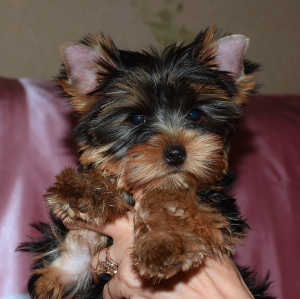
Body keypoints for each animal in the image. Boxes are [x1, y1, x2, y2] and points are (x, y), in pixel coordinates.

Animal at [17, 27, 274, 298]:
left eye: (195, 114)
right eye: (137, 119)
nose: (176, 153)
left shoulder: (214, 207)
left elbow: (171, 201)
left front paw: (164, 244)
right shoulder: (67, 274)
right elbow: (72, 258)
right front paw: (84, 190)